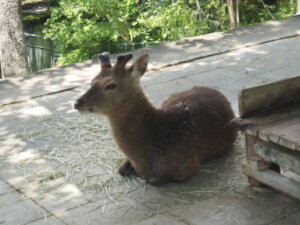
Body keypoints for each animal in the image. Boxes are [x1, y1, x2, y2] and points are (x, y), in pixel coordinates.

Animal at [74, 51, 238, 185]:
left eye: (111, 85)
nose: (77, 103)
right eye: (92, 80)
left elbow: (154, 180)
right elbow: (121, 170)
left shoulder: (189, 166)